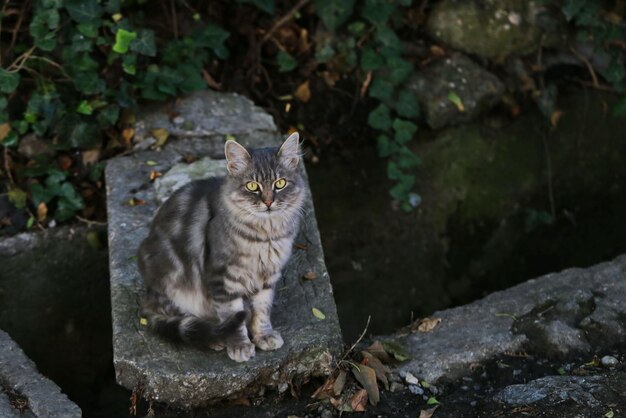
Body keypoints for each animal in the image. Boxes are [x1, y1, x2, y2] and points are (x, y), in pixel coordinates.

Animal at [137, 132, 304, 360]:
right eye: (252, 186)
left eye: (280, 183)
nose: (269, 202)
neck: (265, 235)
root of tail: (149, 295)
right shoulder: (223, 278)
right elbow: (233, 315)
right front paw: (240, 346)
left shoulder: (267, 277)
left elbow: (262, 311)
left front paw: (263, 336)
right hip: (176, 286)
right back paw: (215, 339)